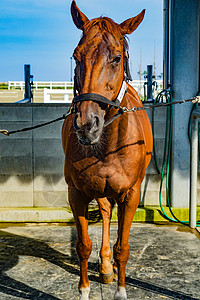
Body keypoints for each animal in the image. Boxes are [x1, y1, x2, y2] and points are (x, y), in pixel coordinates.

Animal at [61, 1, 152, 298]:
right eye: (76, 56)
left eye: (116, 58)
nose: (87, 124)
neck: (107, 145)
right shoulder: (76, 194)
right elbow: (83, 246)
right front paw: (84, 290)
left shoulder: (130, 194)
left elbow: (122, 248)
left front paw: (121, 290)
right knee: (104, 211)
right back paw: (104, 265)